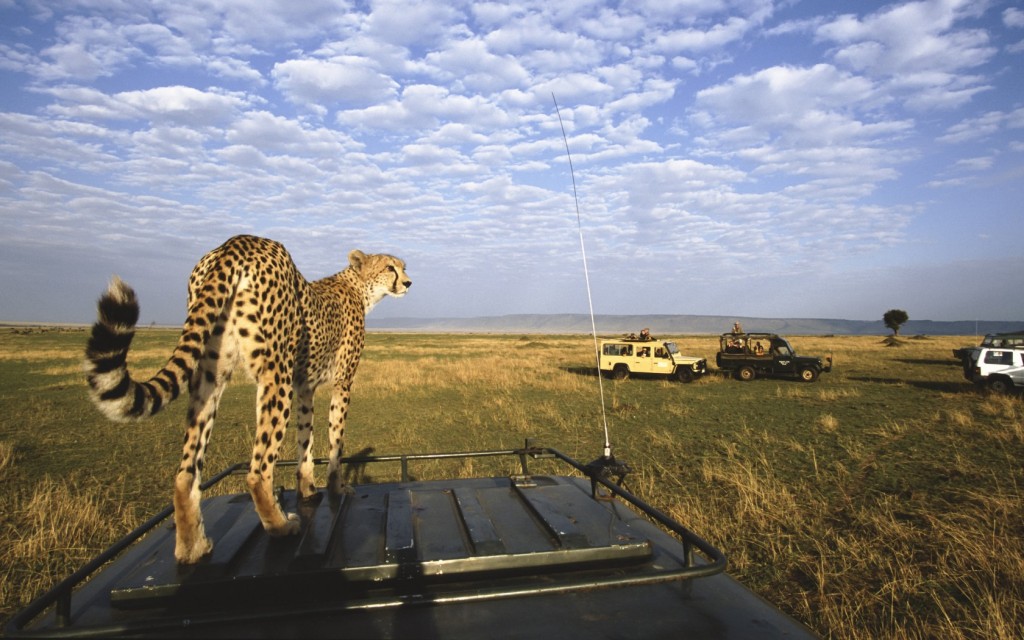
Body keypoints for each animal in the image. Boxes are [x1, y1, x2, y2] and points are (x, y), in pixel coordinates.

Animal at [83, 234, 409, 565]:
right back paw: (280, 526)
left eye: (402, 267)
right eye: (390, 267)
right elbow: (335, 441)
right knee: (257, 470)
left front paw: (307, 488)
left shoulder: (304, 386)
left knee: (186, 473)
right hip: (275, 373)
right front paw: (337, 487)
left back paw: (192, 547)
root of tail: (238, 242)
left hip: (211, 374)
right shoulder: (341, 382)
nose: (408, 282)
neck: (358, 287)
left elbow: (305, 440)